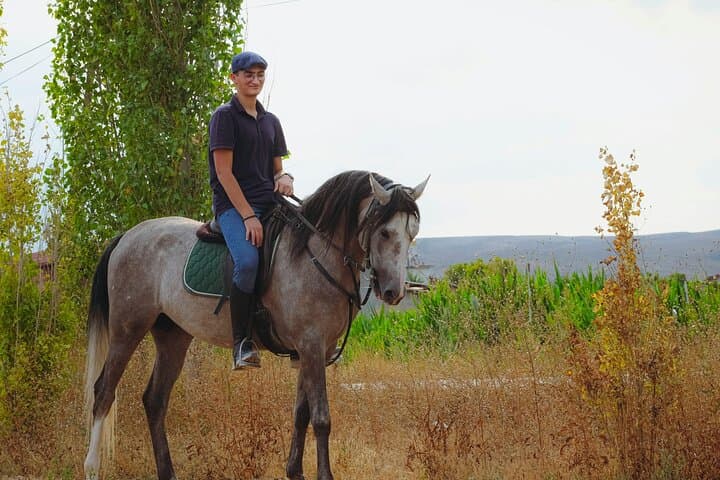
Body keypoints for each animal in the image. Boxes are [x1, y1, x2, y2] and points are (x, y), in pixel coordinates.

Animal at [82, 170, 428, 480]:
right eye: (385, 232)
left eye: (412, 233)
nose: (393, 292)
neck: (316, 255)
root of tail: (127, 236)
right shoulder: (312, 346)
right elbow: (321, 418)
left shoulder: (311, 350)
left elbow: (301, 413)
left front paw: (294, 472)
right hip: (127, 330)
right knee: (103, 393)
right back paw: (92, 469)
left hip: (173, 338)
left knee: (154, 400)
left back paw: (167, 473)